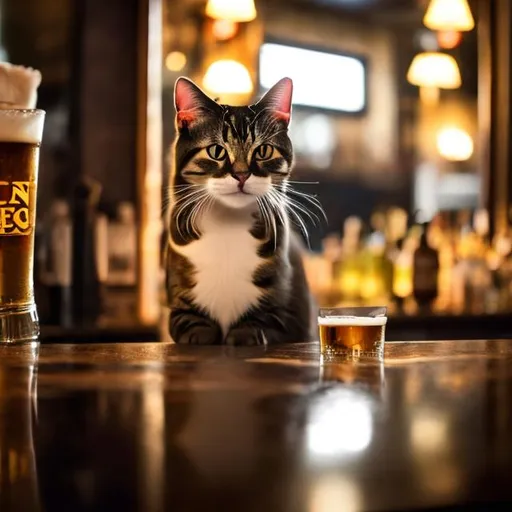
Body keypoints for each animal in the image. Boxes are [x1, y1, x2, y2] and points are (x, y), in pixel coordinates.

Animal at [164, 76, 318, 346]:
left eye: (263, 151)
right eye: (216, 151)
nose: (242, 174)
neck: (228, 224)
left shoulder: (292, 315)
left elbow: (264, 321)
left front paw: (244, 335)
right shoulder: (179, 305)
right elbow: (190, 323)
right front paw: (201, 337)